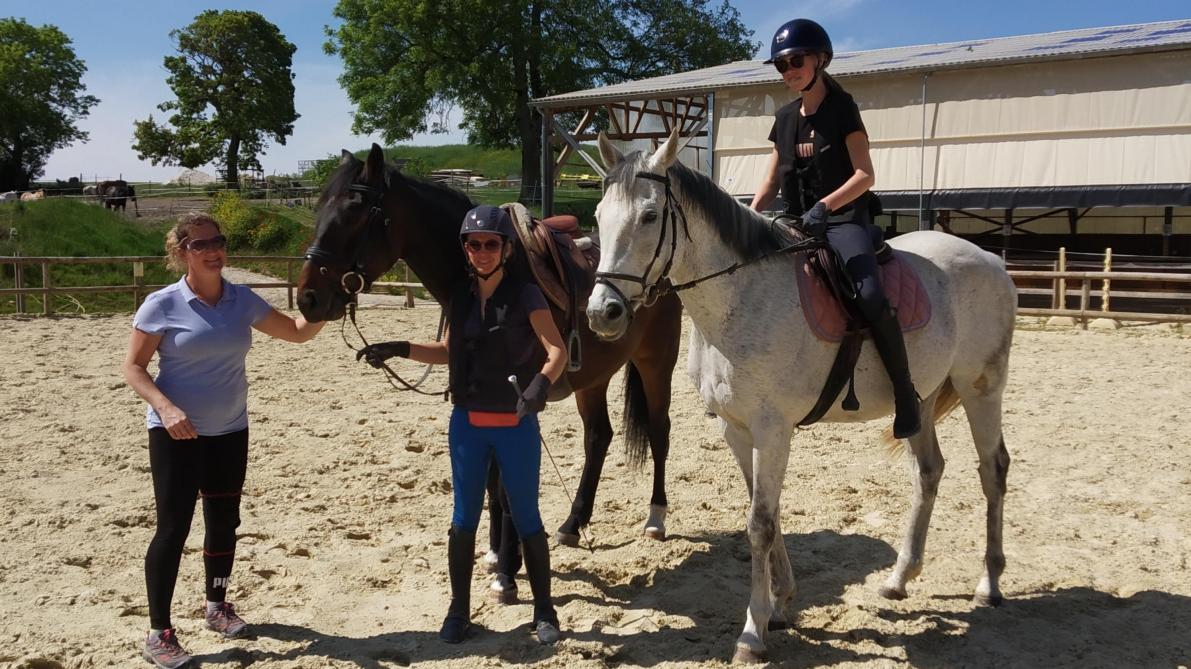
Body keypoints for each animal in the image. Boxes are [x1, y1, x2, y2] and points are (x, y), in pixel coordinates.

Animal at [295, 144, 684, 548]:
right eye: (319, 209)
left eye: (352, 214)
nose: (307, 298)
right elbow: (493, 481)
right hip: (593, 376)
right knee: (598, 437)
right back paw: (573, 522)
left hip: (656, 362)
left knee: (659, 429)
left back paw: (655, 518)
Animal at [586, 129, 1016, 663]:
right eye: (598, 216)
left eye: (648, 216)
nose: (602, 312)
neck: (741, 295)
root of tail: (991, 259)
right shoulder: (736, 428)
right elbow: (765, 512)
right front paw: (780, 604)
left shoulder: (773, 430)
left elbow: (759, 525)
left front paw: (753, 632)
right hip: (919, 398)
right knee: (929, 470)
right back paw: (899, 578)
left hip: (982, 387)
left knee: (992, 470)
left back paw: (989, 584)